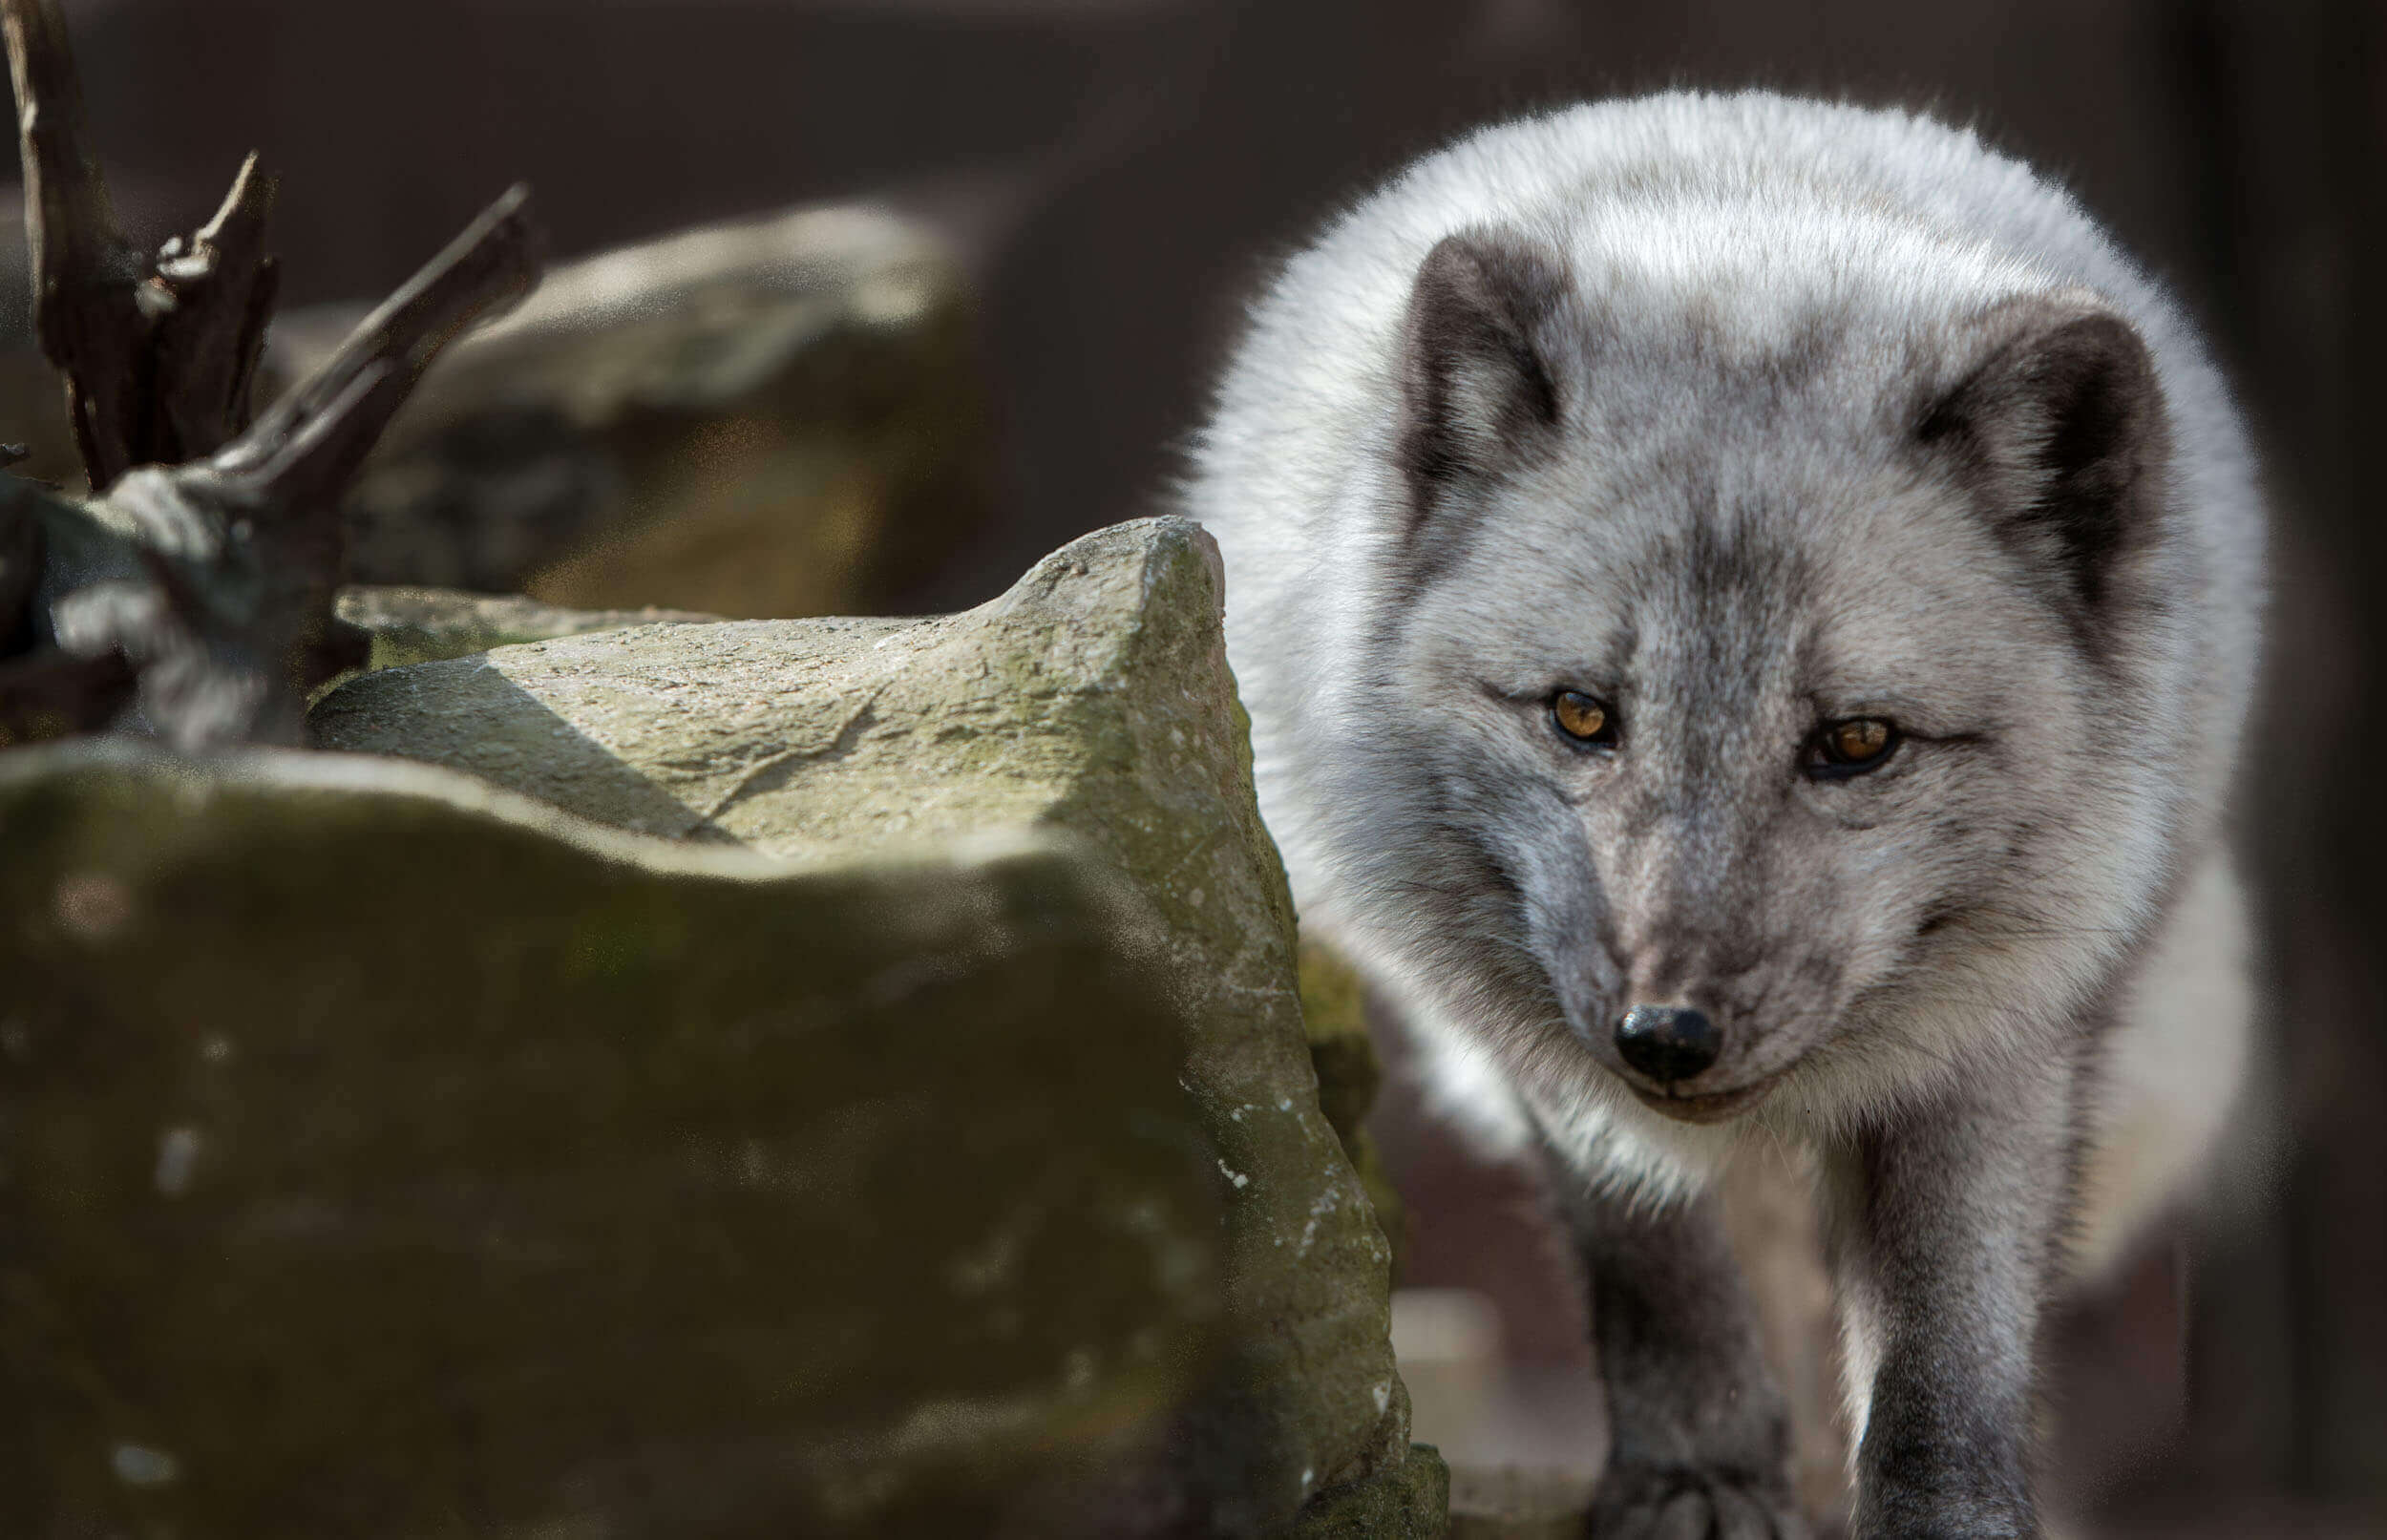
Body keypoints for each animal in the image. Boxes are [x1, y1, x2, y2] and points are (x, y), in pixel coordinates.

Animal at [1184, 95, 2263, 1537]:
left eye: (1855, 743)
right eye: (1580, 714)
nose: (1668, 1035)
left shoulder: (2002, 1042)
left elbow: (1948, 1337)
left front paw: (1940, 1506)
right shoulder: (1547, 1047)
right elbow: (1655, 1256)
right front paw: (1698, 1471)